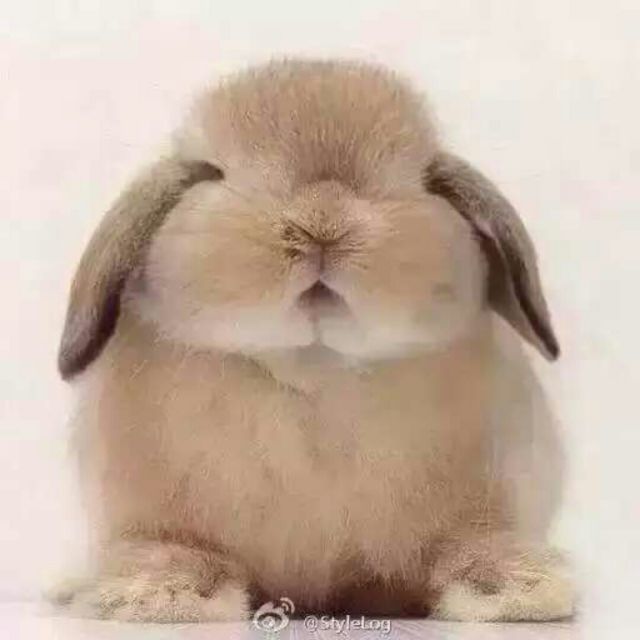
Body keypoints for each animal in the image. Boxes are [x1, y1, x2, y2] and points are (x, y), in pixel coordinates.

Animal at [54, 59, 573, 623]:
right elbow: (173, 545)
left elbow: (471, 540)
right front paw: (163, 593)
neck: (316, 370)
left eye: (424, 181)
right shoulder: (152, 512)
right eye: (211, 173)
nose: (322, 223)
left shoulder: (487, 499)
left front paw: (516, 590)